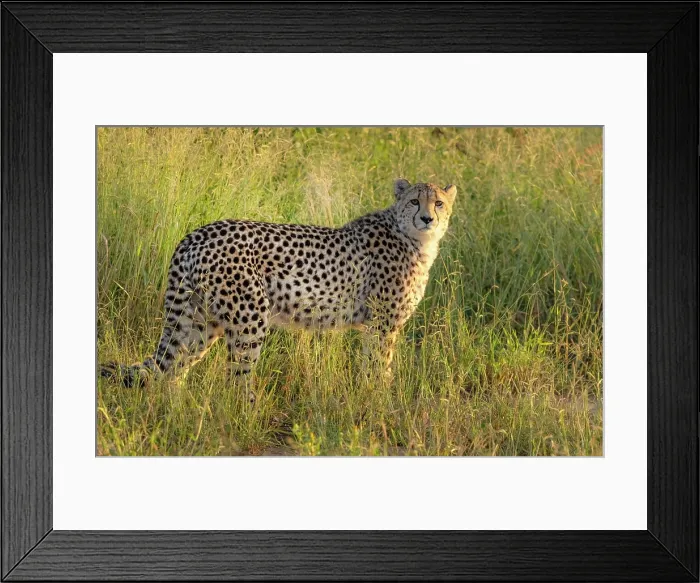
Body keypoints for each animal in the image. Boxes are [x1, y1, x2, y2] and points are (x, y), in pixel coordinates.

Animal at [100, 178, 457, 388]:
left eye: (438, 203)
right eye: (414, 202)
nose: (427, 218)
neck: (414, 239)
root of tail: (197, 232)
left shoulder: (374, 325)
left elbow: (372, 367)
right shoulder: (383, 324)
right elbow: (381, 368)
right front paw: (381, 403)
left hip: (201, 321)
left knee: (172, 370)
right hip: (249, 317)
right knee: (236, 380)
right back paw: (245, 419)